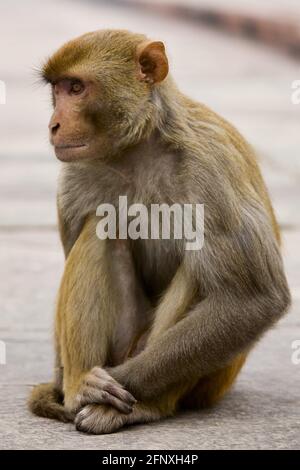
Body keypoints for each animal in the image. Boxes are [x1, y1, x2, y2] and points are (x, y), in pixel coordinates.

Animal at [28, 28, 290, 434]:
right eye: (58, 89)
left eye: (76, 87)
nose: (54, 124)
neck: (139, 147)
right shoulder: (74, 174)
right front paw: (72, 386)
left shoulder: (212, 165)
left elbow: (252, 298)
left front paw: (120, 384)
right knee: (101, 226)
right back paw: (78, 385)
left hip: (209, 380)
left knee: (202, 267)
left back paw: (143, 405)